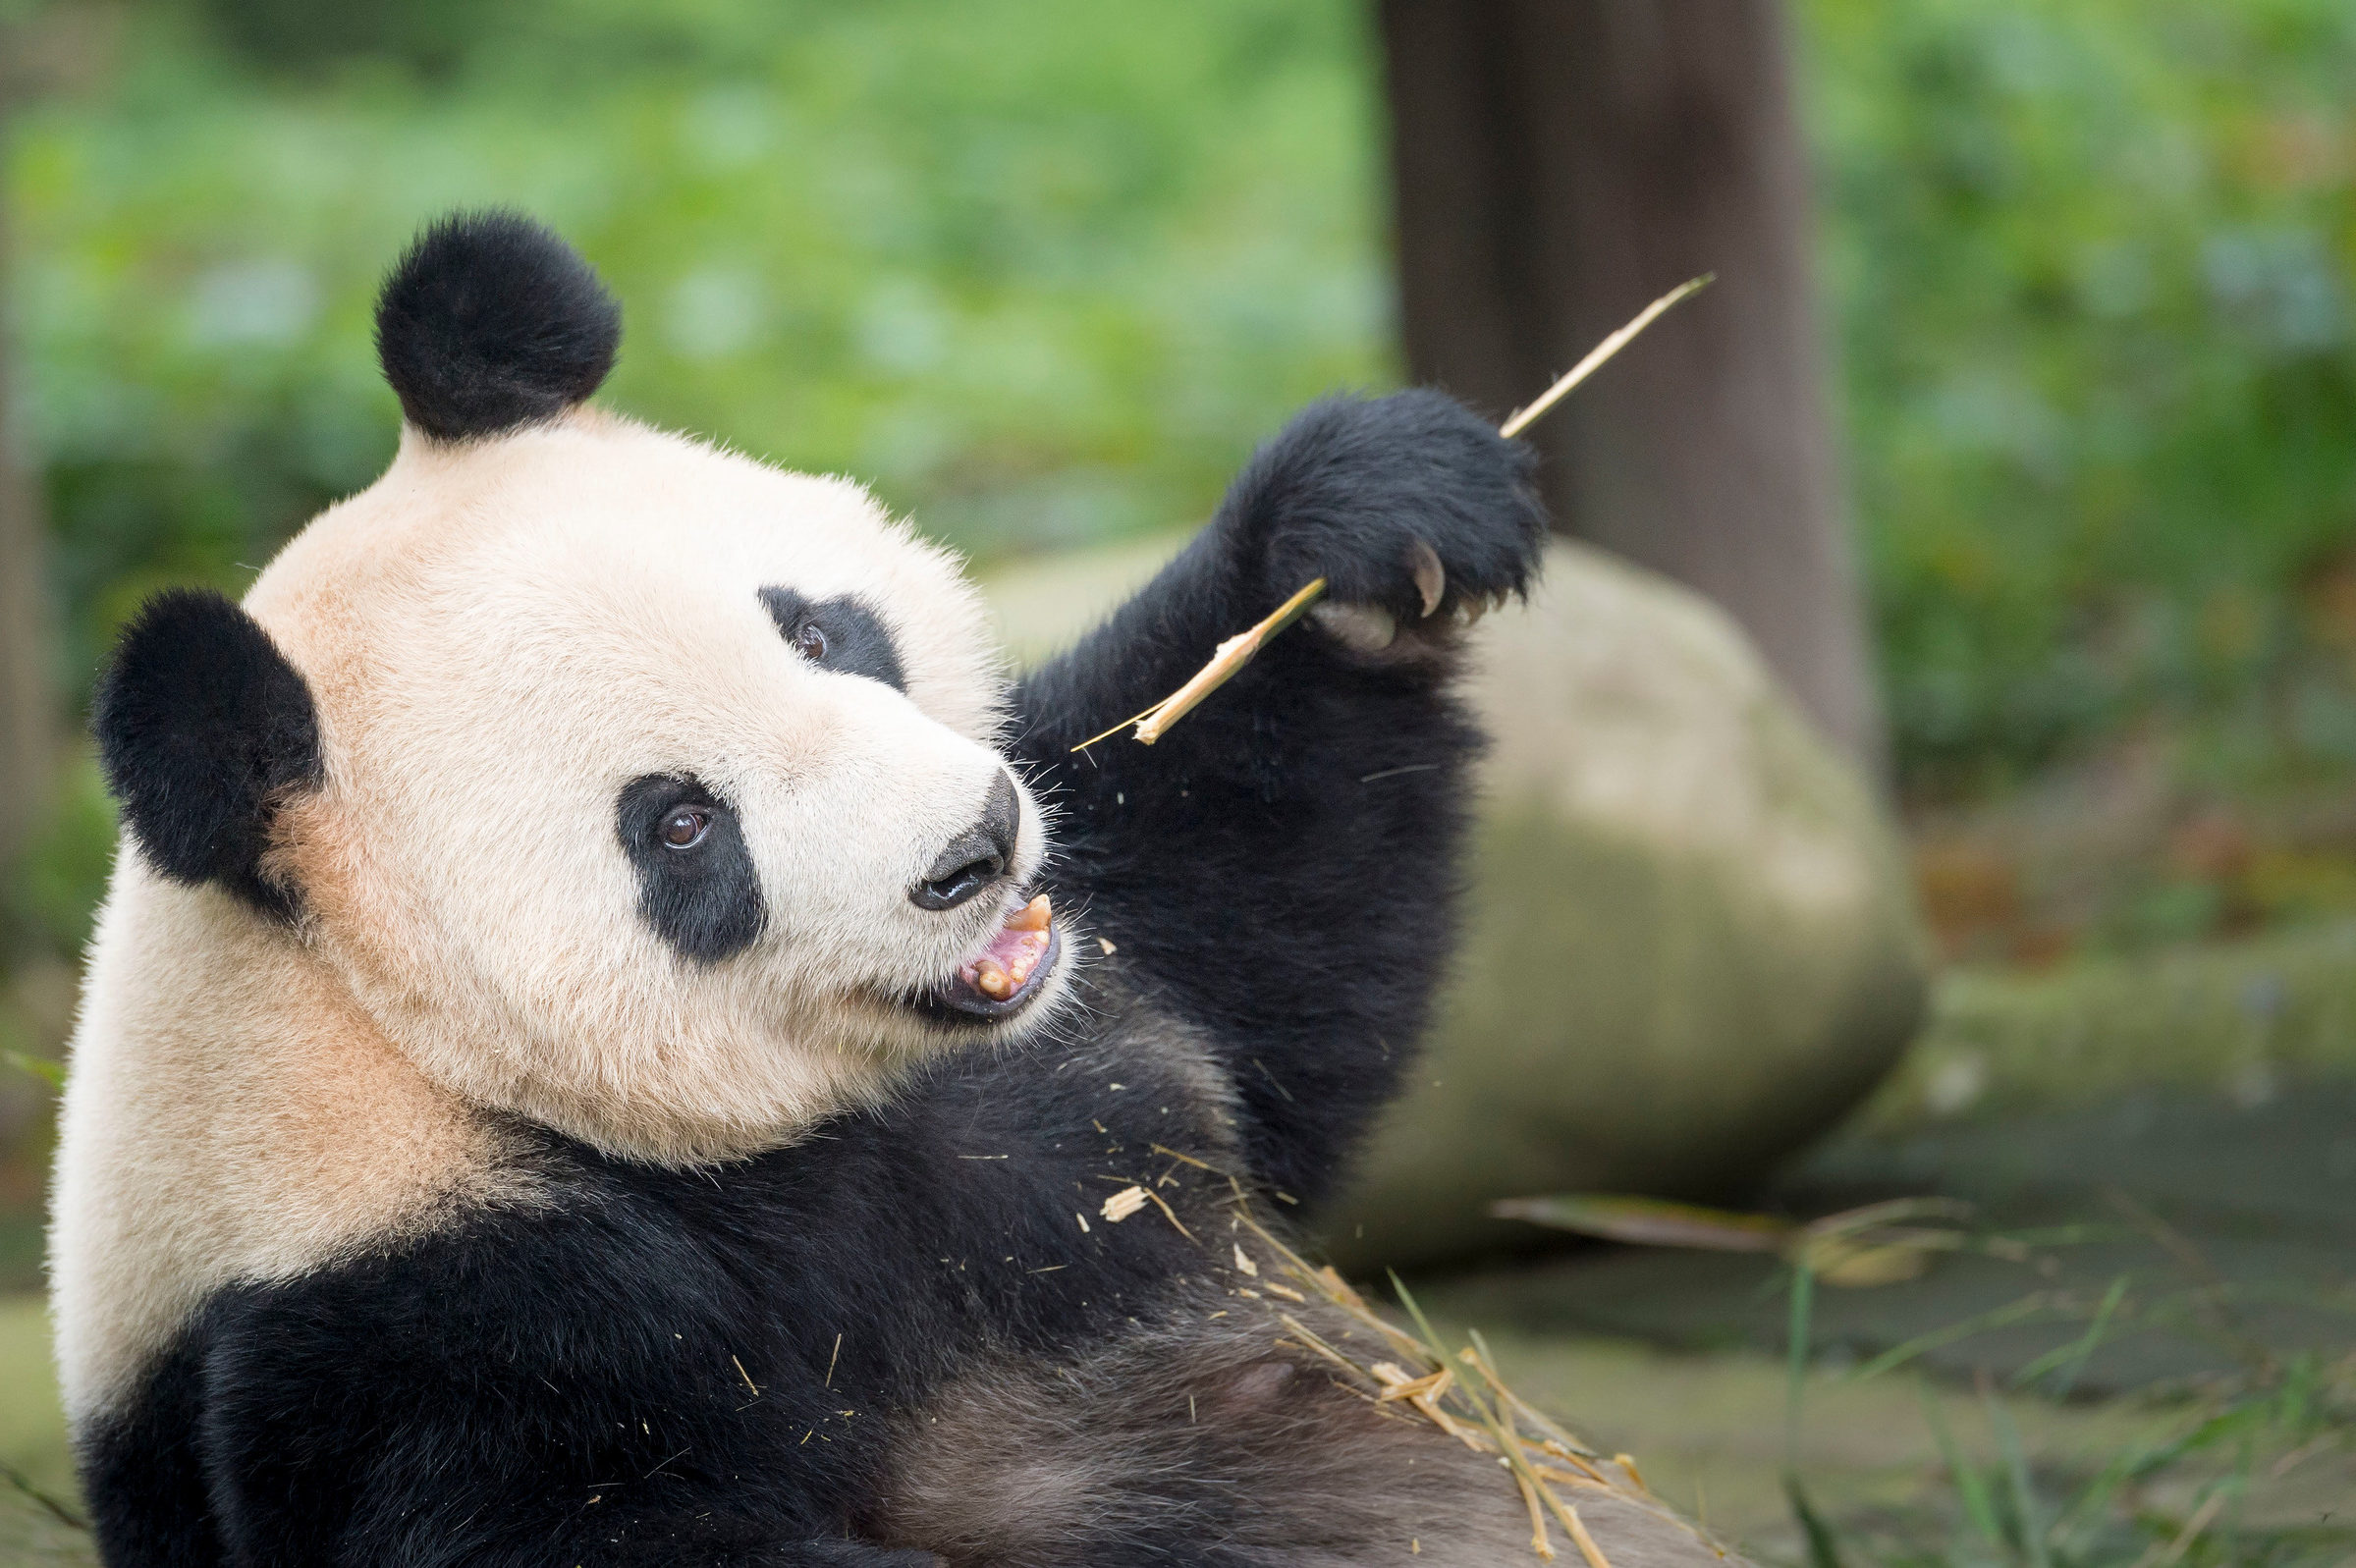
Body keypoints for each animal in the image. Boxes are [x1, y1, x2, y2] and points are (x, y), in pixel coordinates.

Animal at [45, 210, 1725, 1563]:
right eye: (679, 828)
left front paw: (1371, 521)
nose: (973, 847)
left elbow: (1257, 923)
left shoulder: (1102, 1009)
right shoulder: (401, 1322)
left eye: (813, 628)